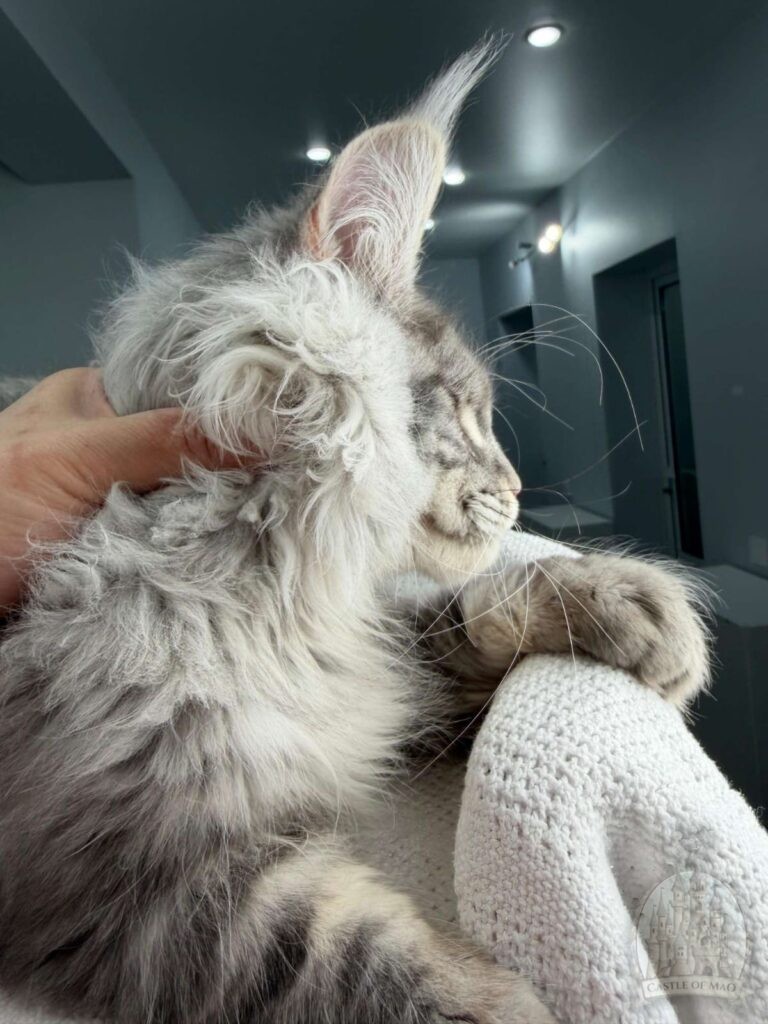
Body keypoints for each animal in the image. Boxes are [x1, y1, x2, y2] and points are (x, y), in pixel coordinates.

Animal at [0, 41, 708, 1024]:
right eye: (470, 410)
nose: (520, 488)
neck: (273, 580)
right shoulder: (127, 866)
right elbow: (365, 962)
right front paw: (520, 1003)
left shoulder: (378, 683)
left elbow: (463, 617)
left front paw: (632, 604)